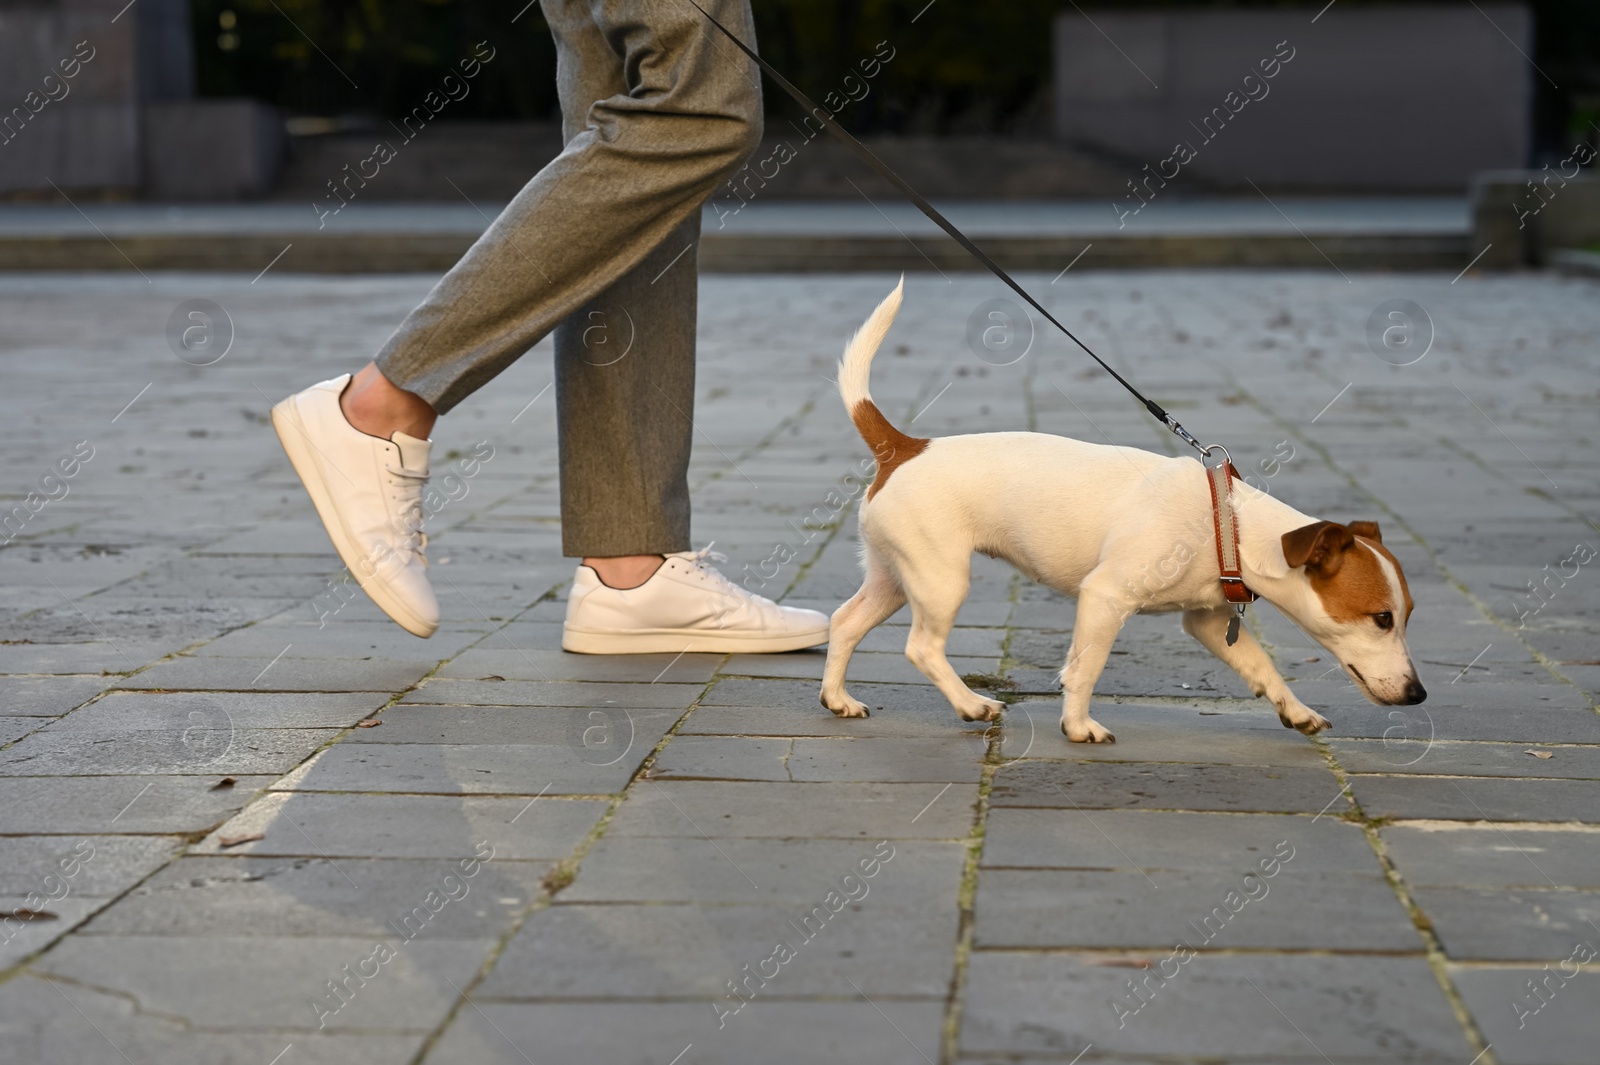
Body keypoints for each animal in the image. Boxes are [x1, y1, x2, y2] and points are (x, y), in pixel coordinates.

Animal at [825, 281, 1427, 745]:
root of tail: (903, 447)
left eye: (1409, 615)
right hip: (942, 579)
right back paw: (972, 704)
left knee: (845, 621)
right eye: (1382, 617)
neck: (1227, 525)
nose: (1419, 694)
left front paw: (1296, 710)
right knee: (922, 647)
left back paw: (838, 698)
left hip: (896, 575)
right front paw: (1077, 726)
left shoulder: (1208, 620)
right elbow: (1086, 667)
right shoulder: (1105, 598)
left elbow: (1261, 666)